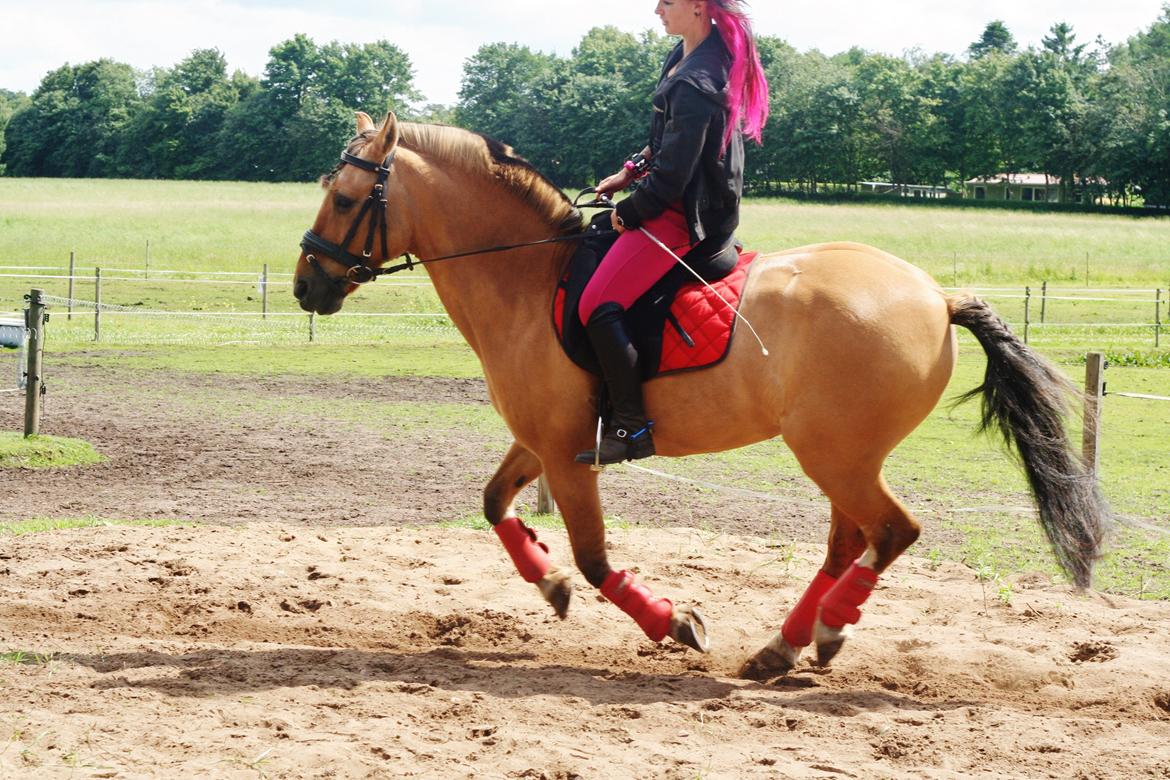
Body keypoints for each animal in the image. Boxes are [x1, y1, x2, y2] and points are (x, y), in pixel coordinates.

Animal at [292, 109, 1104, 678]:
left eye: (346, 198)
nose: (305, 287)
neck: (527, 278)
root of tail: (936, 295)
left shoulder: (568, 452)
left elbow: (596, 558)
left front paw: (671, 623)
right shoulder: (541, 441)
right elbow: (495, 505)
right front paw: (548, 583)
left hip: (834, 453)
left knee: (891, 531)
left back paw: (824, 630)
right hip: (843, 454)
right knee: (852, 540)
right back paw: (784, 647)